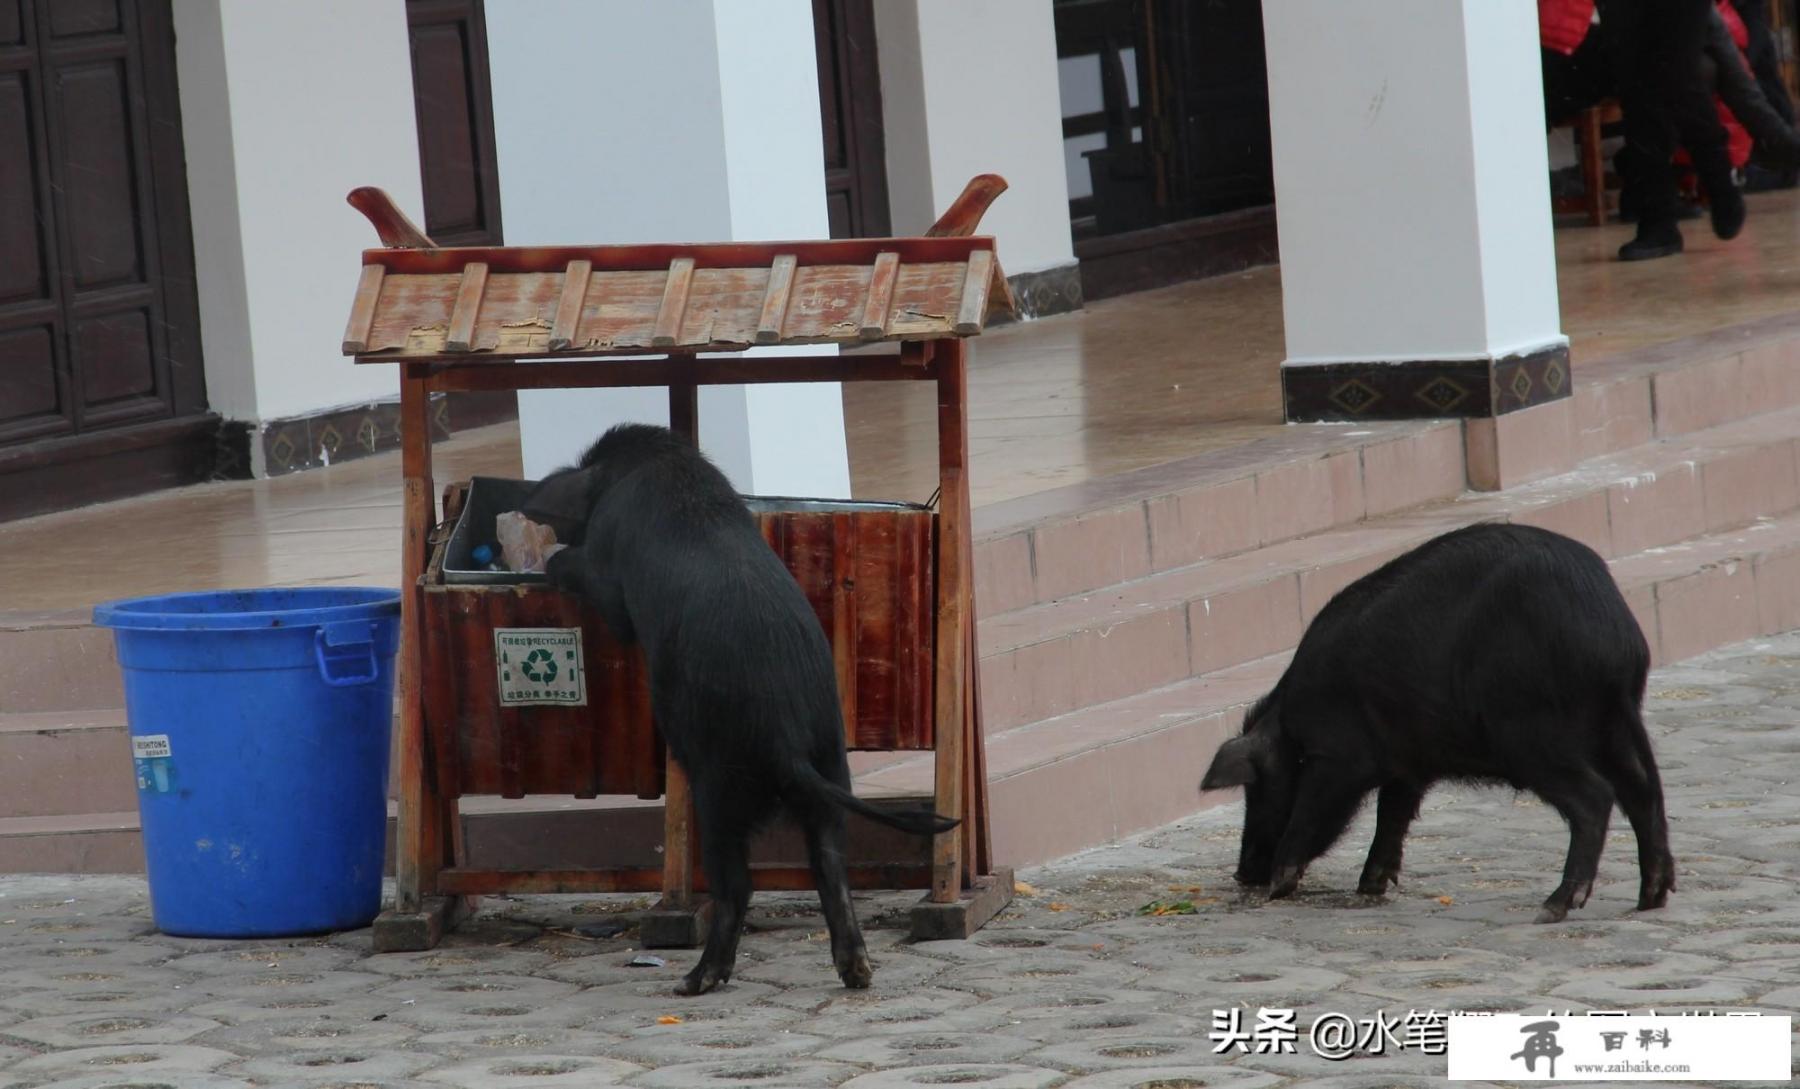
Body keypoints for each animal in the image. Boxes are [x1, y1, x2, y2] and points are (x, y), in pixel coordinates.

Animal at [1202, 522, 1677, 921]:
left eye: (1257, 788)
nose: (1243, 873)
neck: (1292, 721)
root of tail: (1614, 642)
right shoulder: (1407, 763)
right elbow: (1392, 815)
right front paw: (1370, 886)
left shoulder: (1338, 757)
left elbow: (1316, 812)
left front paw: (1278, 887)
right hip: (1612, 727)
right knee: (1644, 793)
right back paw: (1649, 900)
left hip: (1531, 733)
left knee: (1596, 797)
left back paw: (1553, 907)